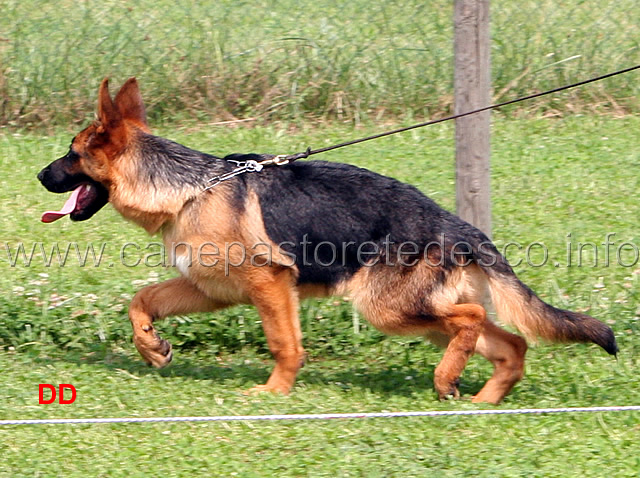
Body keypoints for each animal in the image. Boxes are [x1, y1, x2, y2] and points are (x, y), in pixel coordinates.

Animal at [37, 79, 616, 404]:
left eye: (70, 153)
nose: (40, 176)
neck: (190, 189)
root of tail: (460, 228)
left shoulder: (269, 286)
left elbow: (284, 344)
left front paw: (274, 392)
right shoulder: (211, 289)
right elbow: (142, 300)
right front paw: (151, 347)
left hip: (387, 307)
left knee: (472, 320)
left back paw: (446, 380)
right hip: (421, 313)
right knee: (510, 343)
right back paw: (480, 399)